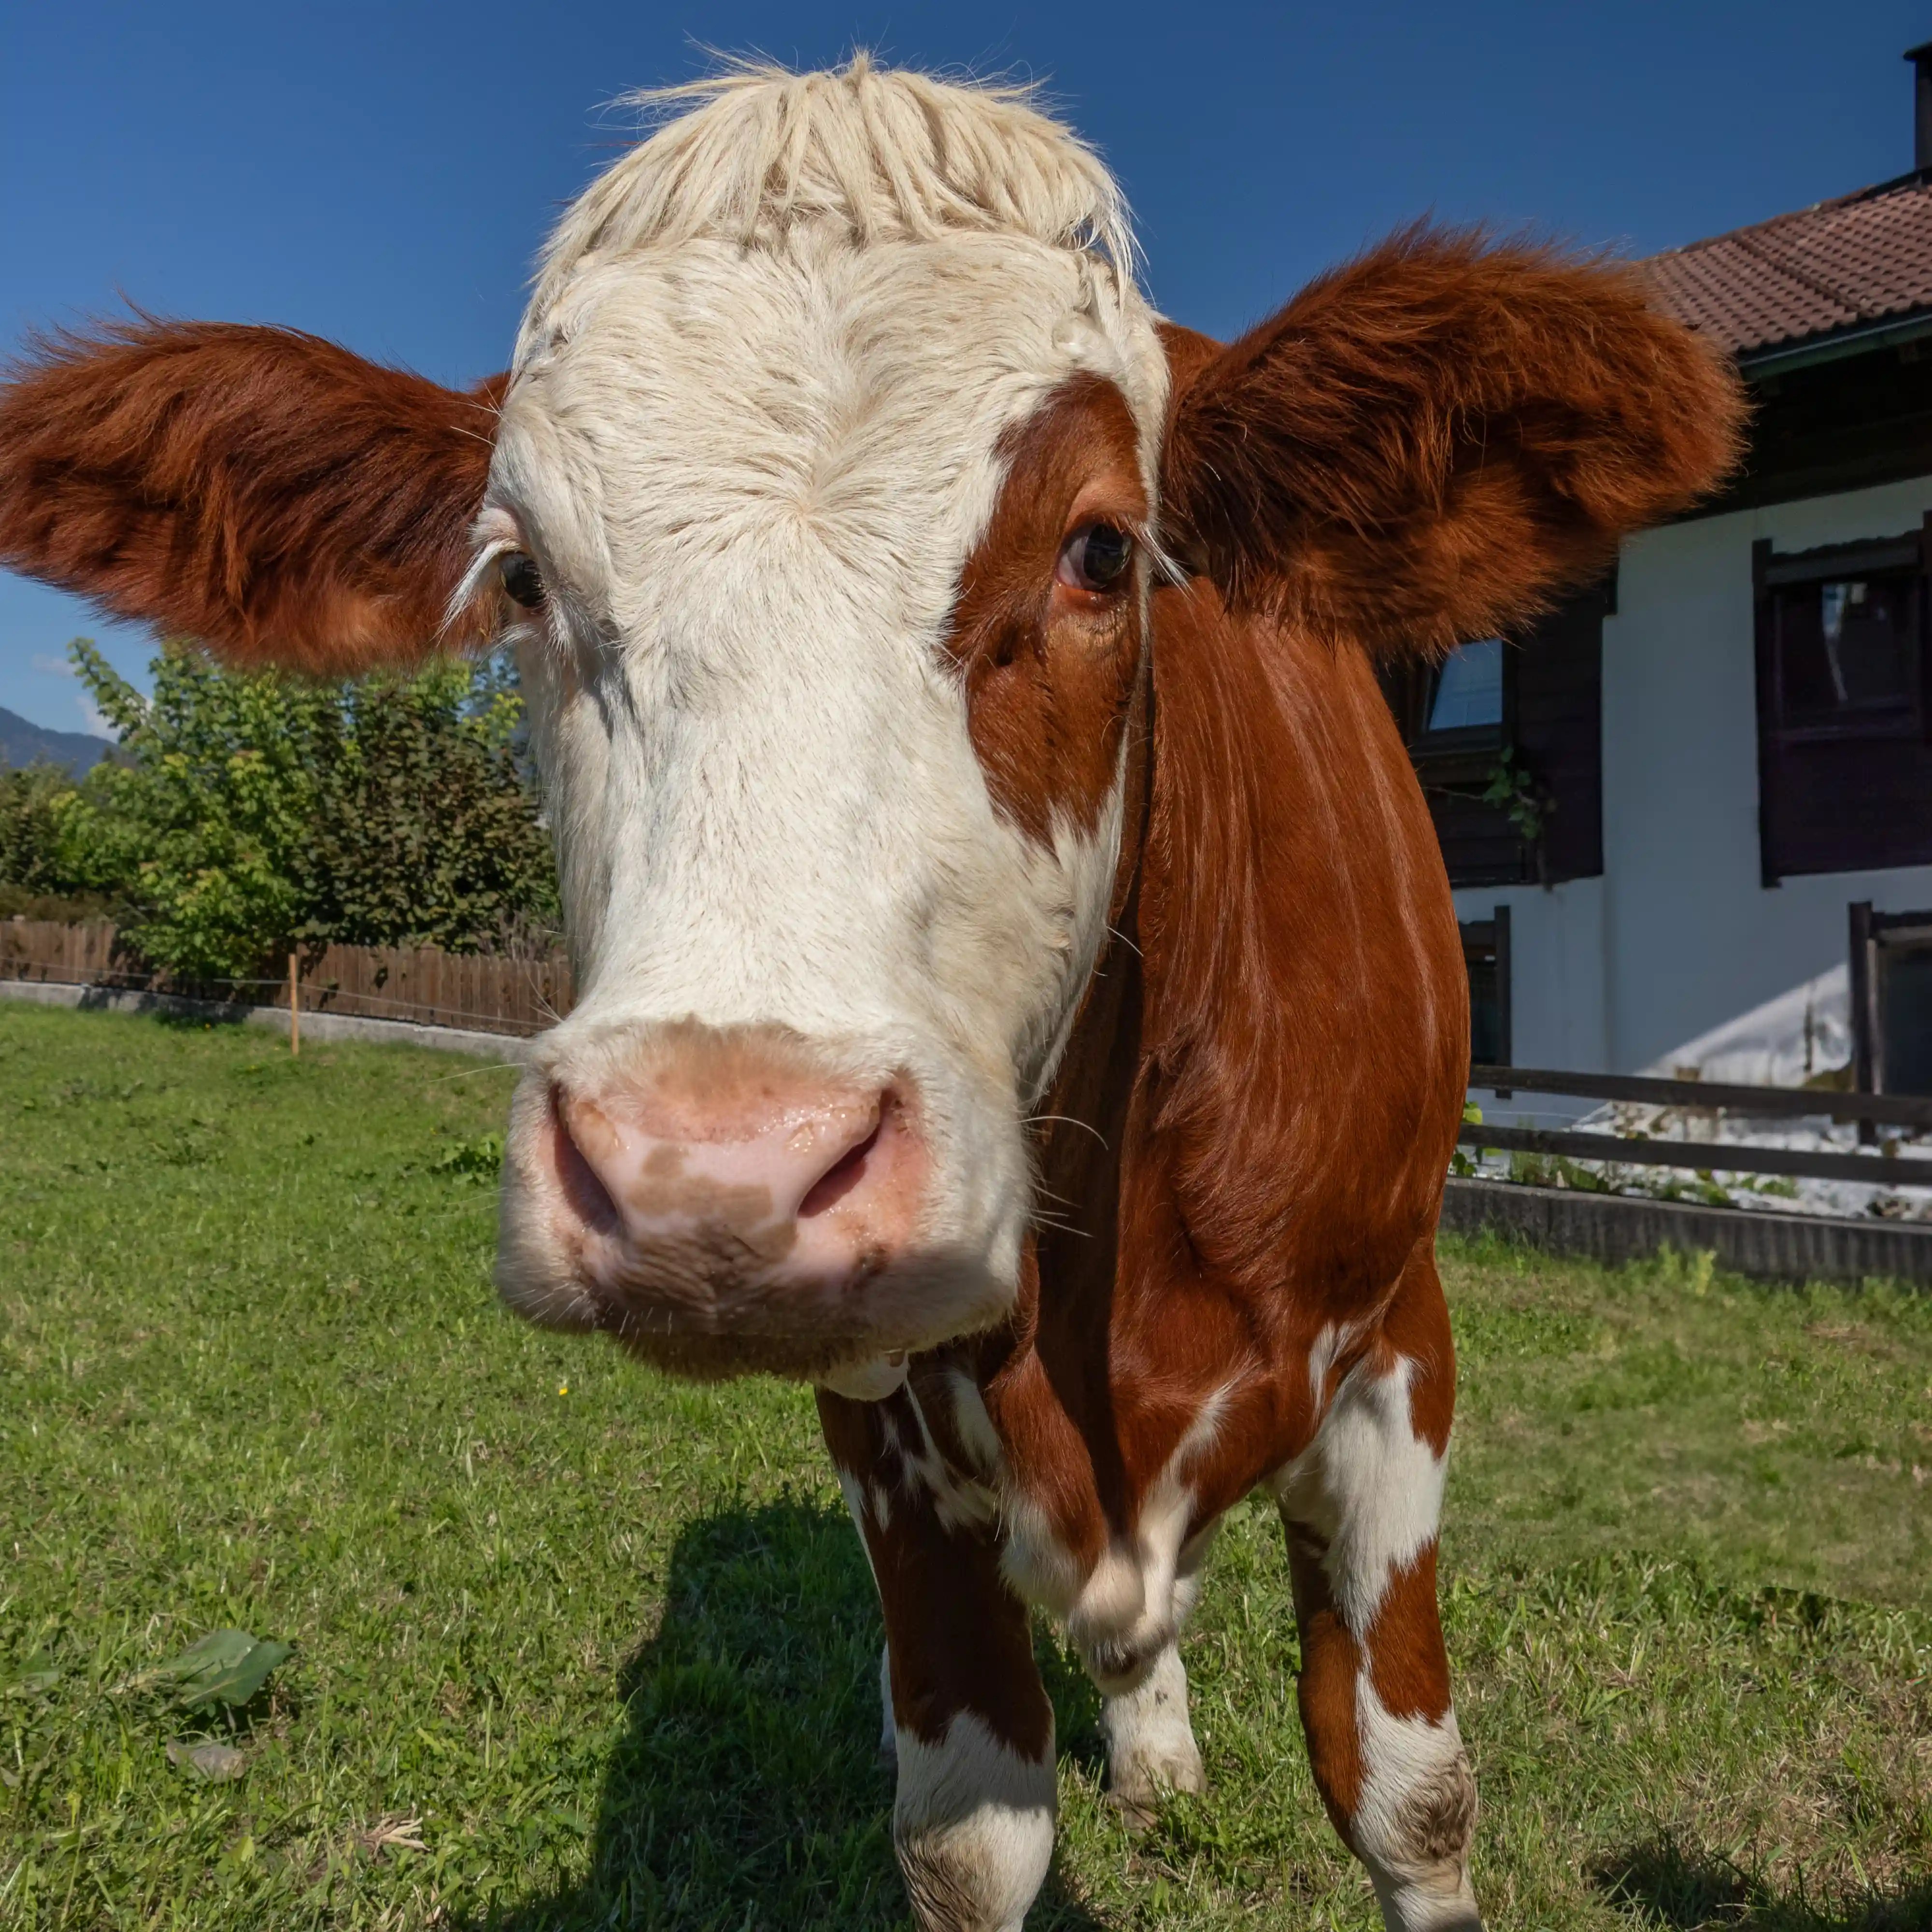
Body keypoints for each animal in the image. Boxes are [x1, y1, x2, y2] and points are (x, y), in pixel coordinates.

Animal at [0, 60, 1740, 1932]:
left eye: (1102, 552)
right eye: (524, 575)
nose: (711, 1172)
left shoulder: (1397, 1338)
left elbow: (1408, 1794)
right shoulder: (882, 1424)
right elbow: (970, 1835)